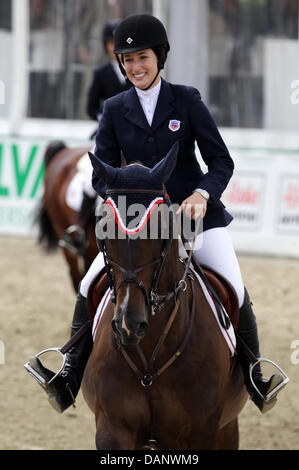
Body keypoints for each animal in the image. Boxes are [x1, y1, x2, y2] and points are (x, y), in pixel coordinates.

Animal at [81, 144, 248, 452]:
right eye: (104, 229)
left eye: (161, 228)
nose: (129, 324)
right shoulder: (113, 429)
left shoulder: (202, 433)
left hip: (227, 428)